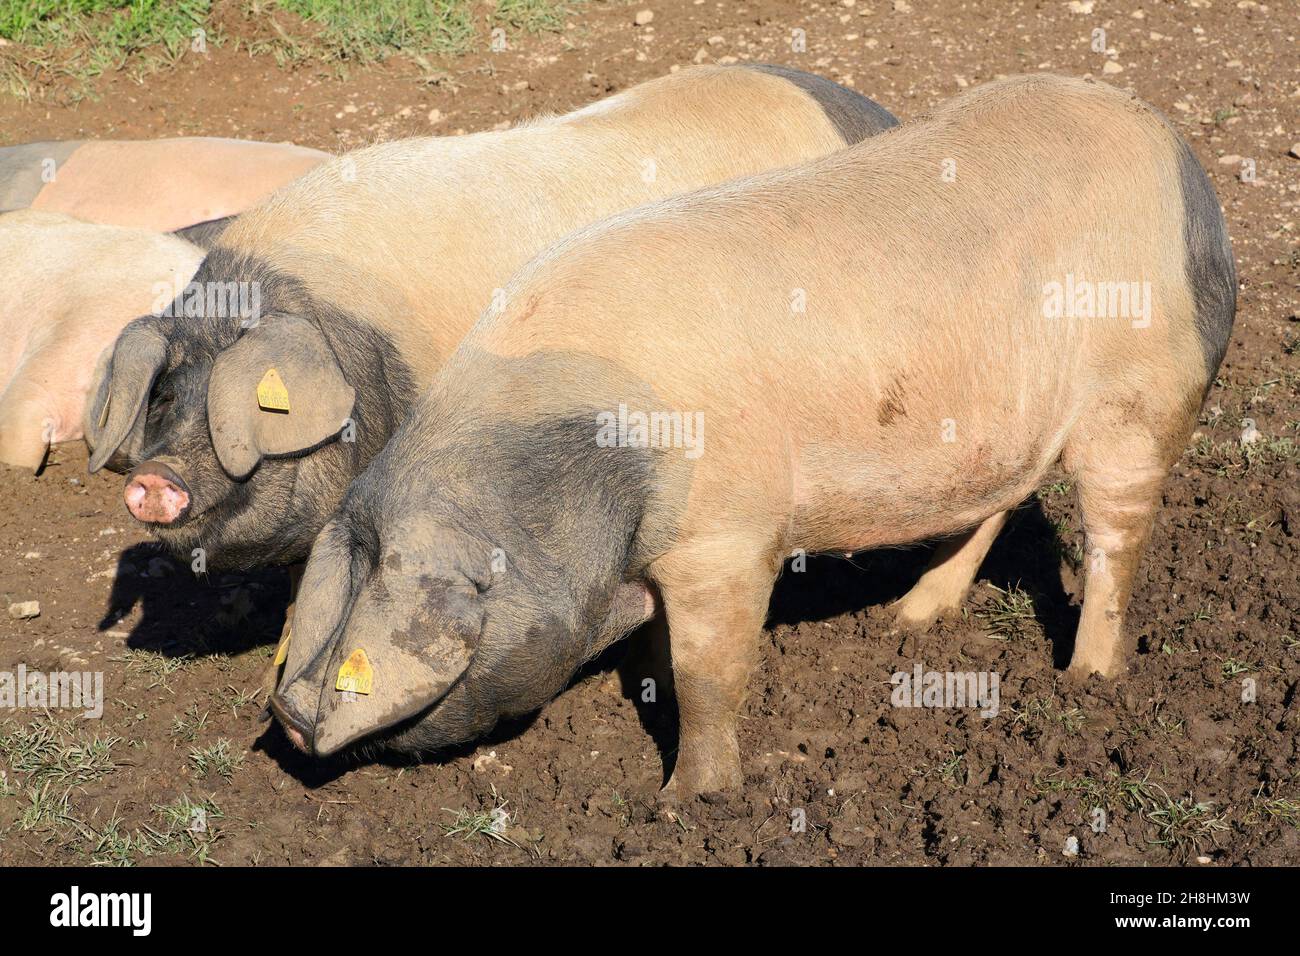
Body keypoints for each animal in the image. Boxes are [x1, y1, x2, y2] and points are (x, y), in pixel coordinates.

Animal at [269, 74, 1232, 796]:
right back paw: (909, 621)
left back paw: (1088, 680)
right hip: (1001, 422)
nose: (288, 721)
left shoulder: (726, 538)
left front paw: (687, 802)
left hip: (1140, 395)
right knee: (999, 504)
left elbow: (710, 674)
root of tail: (1186, 168)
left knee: (1115, 537)